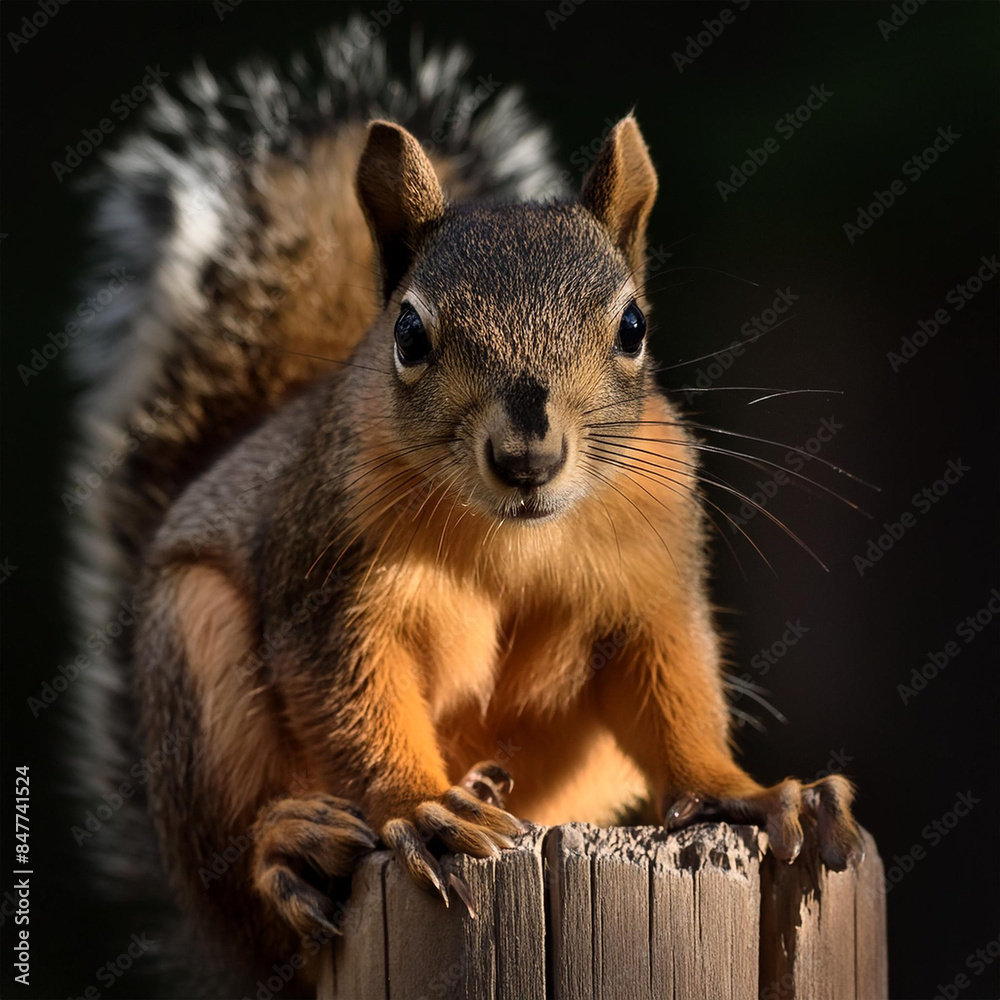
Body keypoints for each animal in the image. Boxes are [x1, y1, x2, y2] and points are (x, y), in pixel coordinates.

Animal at [67, 22, 862, 995]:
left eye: (633, 327)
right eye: (409, 335)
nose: (527, 457)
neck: (513, 536)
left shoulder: (650, 587)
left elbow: (671, 696)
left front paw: (745, 793)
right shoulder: (333, 587)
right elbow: (356, 695)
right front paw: (422, 806)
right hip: (193, 653)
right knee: (252, 911)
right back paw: (289, 851)